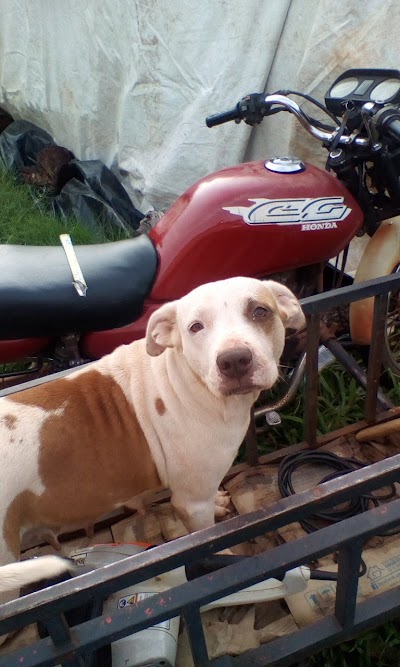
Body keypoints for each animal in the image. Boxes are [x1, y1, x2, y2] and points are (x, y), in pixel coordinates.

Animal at [0, 276, 304, 600]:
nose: (234, 360)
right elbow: (207, 541)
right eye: (195, 327)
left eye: (260, 311)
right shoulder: (192, 502)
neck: (187, 382)